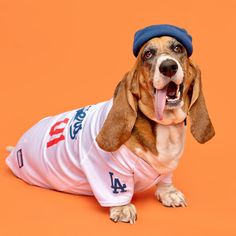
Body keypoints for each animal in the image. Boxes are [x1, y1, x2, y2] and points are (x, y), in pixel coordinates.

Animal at [6, 24, 216, 224]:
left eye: (177, 48)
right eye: (148, 54)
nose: (168, 67)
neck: (164, 125)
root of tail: (17, 147)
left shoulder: (167, 166)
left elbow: (165, 178)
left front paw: (168, 192)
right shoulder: (107, 170)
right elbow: (116, 191)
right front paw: (122, 209)